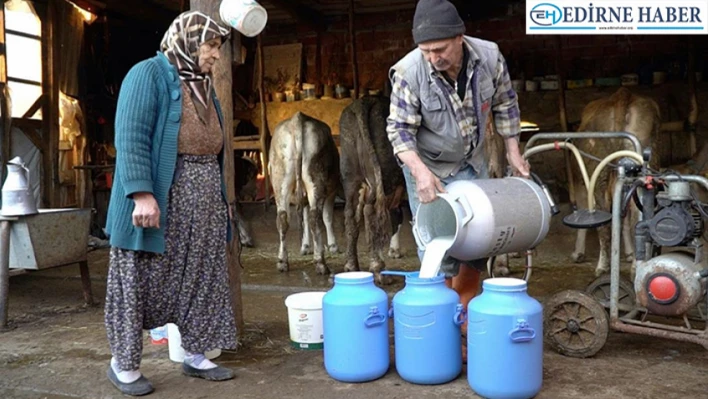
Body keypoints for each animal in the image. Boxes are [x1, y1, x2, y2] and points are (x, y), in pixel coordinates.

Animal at [268, 111, 340, 276]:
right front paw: (333, 245)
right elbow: (328, 218)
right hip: (317, 180)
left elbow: (305, 219)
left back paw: (282, 262)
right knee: (315, 218)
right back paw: (320, 263)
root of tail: (297, 118)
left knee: (282, 219)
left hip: (280, 181)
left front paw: (305, 246)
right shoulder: (331, 192)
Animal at [340, 96, 406, 284]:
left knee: (351, 214)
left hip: (351, 176)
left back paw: (351, 266)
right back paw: (378, 269)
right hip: (385, 177)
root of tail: (364, 102)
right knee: (373, 212)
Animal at [568, 86, 660, 278]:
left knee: (605, 218)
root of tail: (622, 95)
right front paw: (629, 253)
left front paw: (577, 253)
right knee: (635, 215)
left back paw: (604, 266)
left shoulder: (580, 183)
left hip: (598, 173)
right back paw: (632, 265)